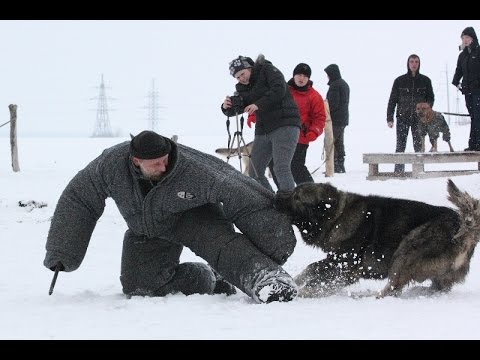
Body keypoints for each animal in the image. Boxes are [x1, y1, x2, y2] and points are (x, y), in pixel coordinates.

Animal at [280, 180, 480, 298]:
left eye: (297, 197)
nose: (276, 197)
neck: (338, 216)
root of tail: (462, 225)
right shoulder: (335, 260)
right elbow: (311, 268)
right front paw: (296, 282)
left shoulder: (347, 267)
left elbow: (317, 279)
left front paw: (302, 292)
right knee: (436, 286)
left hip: (407, 249)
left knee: (392, 289)